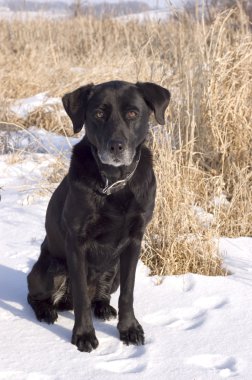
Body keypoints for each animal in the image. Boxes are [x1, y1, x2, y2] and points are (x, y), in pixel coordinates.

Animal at [27, 80, 169, 354]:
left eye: (133, 113)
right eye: (99, 114)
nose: (116, 146)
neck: (114, 183)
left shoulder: (135, 241)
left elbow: (128, 294)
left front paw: (129, 329)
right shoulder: (77, 243)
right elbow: (82, 297)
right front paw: (83, 335)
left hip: (112, 271)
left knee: (101, 295)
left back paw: (103, 307)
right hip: (51, 269)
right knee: (36, 296)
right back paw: (46, 312)